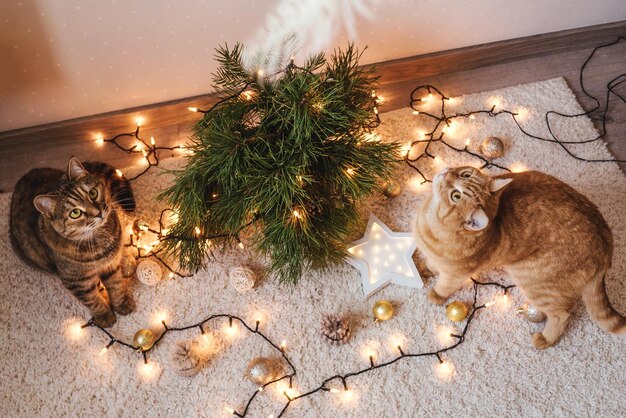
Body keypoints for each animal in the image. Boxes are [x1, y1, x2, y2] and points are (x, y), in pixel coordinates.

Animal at [9, 157, 137, 326]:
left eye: (93, 193)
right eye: (75, 213)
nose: (98, 213)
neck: (99, 238)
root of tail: (26, 175)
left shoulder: (110, 264)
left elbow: (116, 285)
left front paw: (121, 303)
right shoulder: (76, 282)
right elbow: (93, 300)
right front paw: (104, 315)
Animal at [412, 165, 620, 348]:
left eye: (456, 195)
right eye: (465, 174)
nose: (446, 173)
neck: (428, 221)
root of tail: (606, 245)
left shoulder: (455, 274)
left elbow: (444, 285)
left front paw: (435, 294)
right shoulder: (435, 258)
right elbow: (431, 265)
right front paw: (423, 269)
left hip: (533, 283)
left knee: (561, 315)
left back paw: (545, 339)